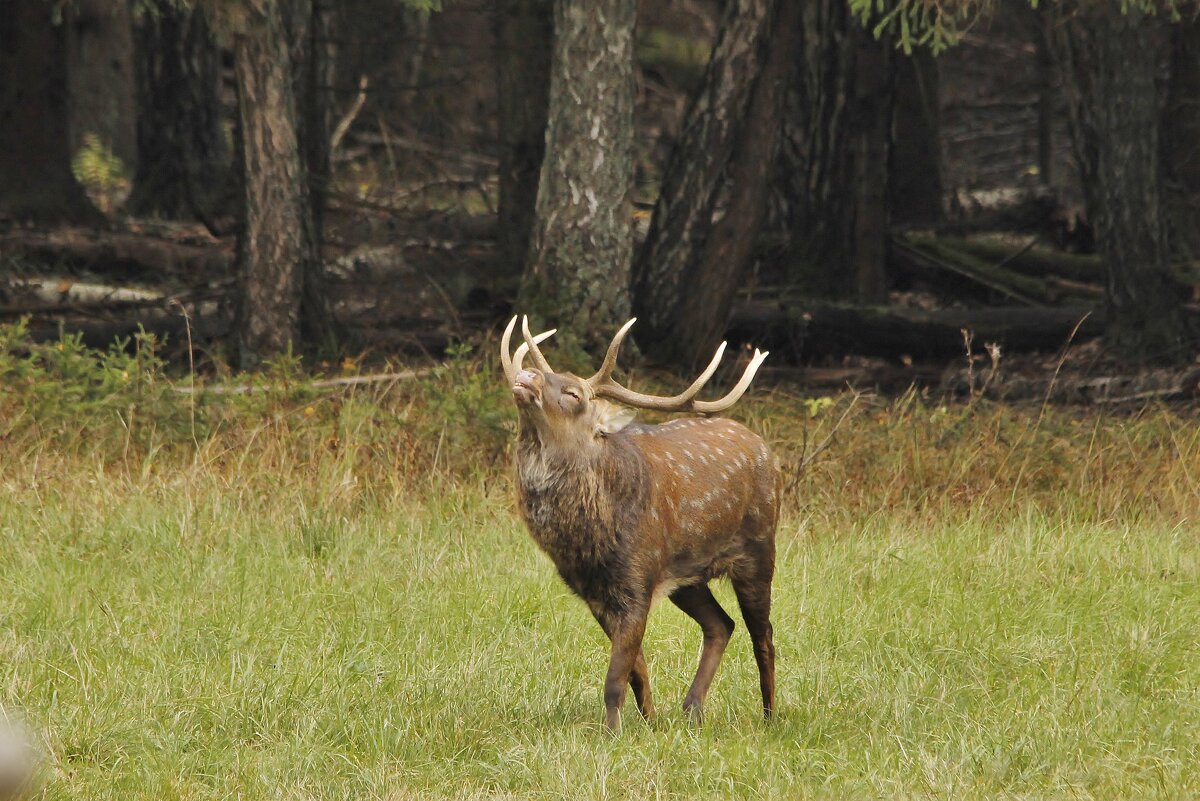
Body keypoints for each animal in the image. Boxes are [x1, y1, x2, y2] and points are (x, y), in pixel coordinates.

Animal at [496, 311, 777, 733]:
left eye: (574, 394)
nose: (528, 375)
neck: (589, 544)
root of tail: (765, 449)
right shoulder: (594, 593)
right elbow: (635, 669)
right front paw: (649, 720)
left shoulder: (637, 580)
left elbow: (615, 677)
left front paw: (613, 733)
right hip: (687, 576)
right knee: (721, 624)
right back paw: (691, 710)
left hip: (760, 548)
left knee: (764, 636)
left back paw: (771, 716)